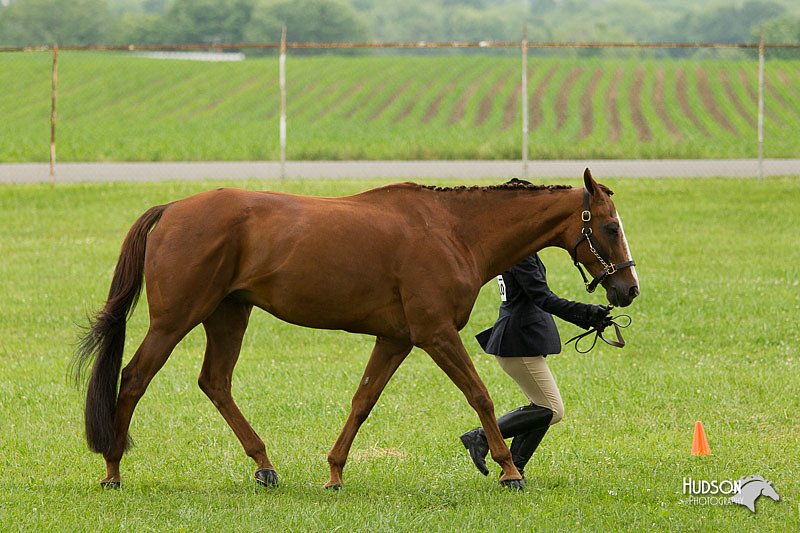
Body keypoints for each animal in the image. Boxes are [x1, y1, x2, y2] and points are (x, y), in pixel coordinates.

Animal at [73, 168, 636, 488]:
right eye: (609, 227)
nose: (627, 290)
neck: (453, 230)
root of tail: (171, 209)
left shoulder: (396, 339)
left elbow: (363, 401)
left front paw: (335, 473)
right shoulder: (435, 335)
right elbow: (480, 395)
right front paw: (509, 469)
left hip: (228, 313)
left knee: (215, 382)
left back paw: (264, 465)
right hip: (176, 319)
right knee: (135, 377)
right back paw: (113, 469)